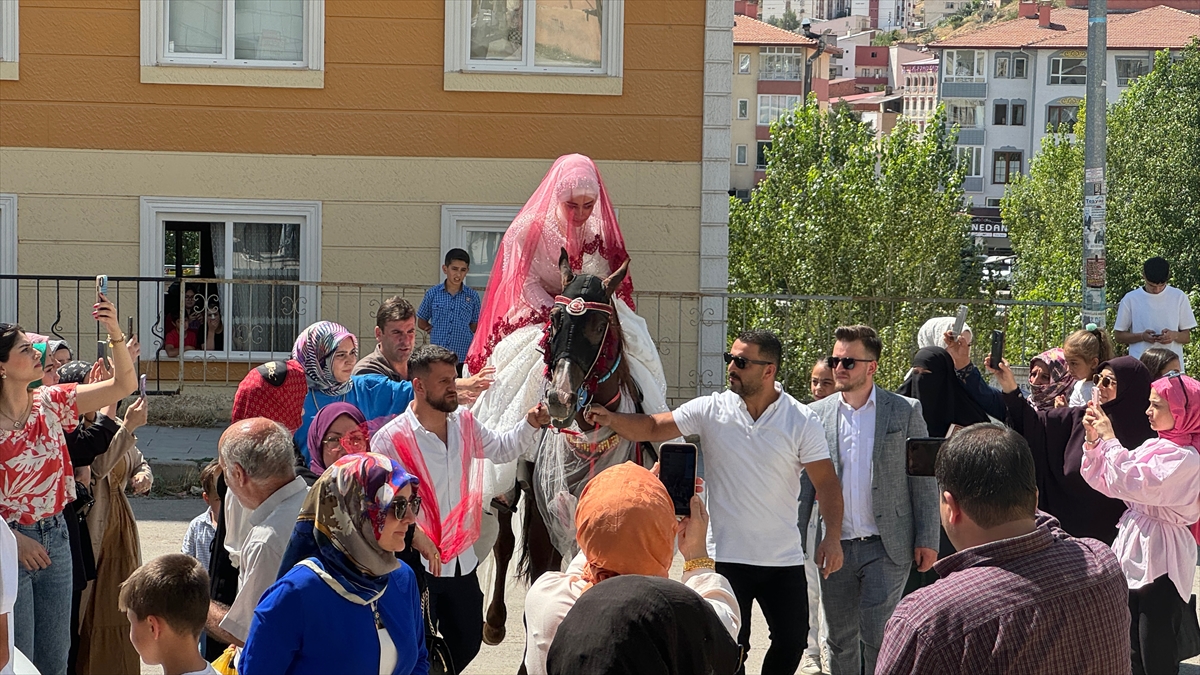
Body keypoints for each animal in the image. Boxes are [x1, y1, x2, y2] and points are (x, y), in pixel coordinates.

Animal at [480, 249, 657, 648]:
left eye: (598, 325)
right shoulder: (547, 514)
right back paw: (494, 622)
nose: (559, 398)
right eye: (555, 319)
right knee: (504, 540)